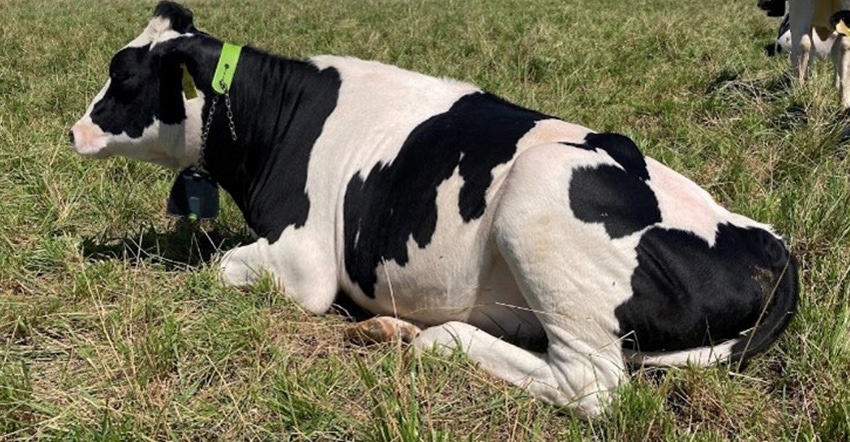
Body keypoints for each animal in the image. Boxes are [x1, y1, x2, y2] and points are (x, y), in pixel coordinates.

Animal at [69, 0, 800, 418]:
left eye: (123, 78)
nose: (73, 131)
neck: (279, 119)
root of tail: (772, 247)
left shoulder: (306, 263)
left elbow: (220, 268)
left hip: (539, 194)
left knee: (590, 386)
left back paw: (432, 338)